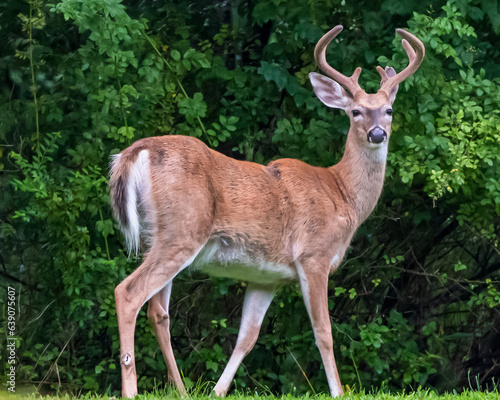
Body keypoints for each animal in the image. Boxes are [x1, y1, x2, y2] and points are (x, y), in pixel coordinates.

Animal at [109, 24, 422, 396]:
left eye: (388, 110)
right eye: (355, 111)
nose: (377, 133)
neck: (342, 194)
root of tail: (136, 152)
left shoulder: (267, 276)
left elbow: (247, 337)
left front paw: (218, 390)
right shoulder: (314, 256)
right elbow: (324, 332)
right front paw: (338, 391)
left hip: (155, 236)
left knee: (158, 310)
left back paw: (182, 389)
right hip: (182, 231)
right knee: (128, 293)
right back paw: (131, 389)